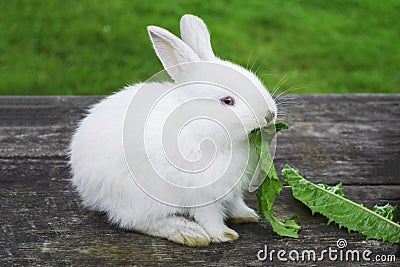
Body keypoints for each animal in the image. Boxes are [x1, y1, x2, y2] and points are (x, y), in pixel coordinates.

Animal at [69, 14, 276, 247]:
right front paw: (223, 235)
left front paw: (246, 215)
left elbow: (234, 203)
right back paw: (188, 232)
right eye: (227, 101)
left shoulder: (231, 190)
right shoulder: (201, 193)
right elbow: (209, 216)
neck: (198, 128)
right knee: (137, 222)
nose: (270, 114)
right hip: (141, 198)